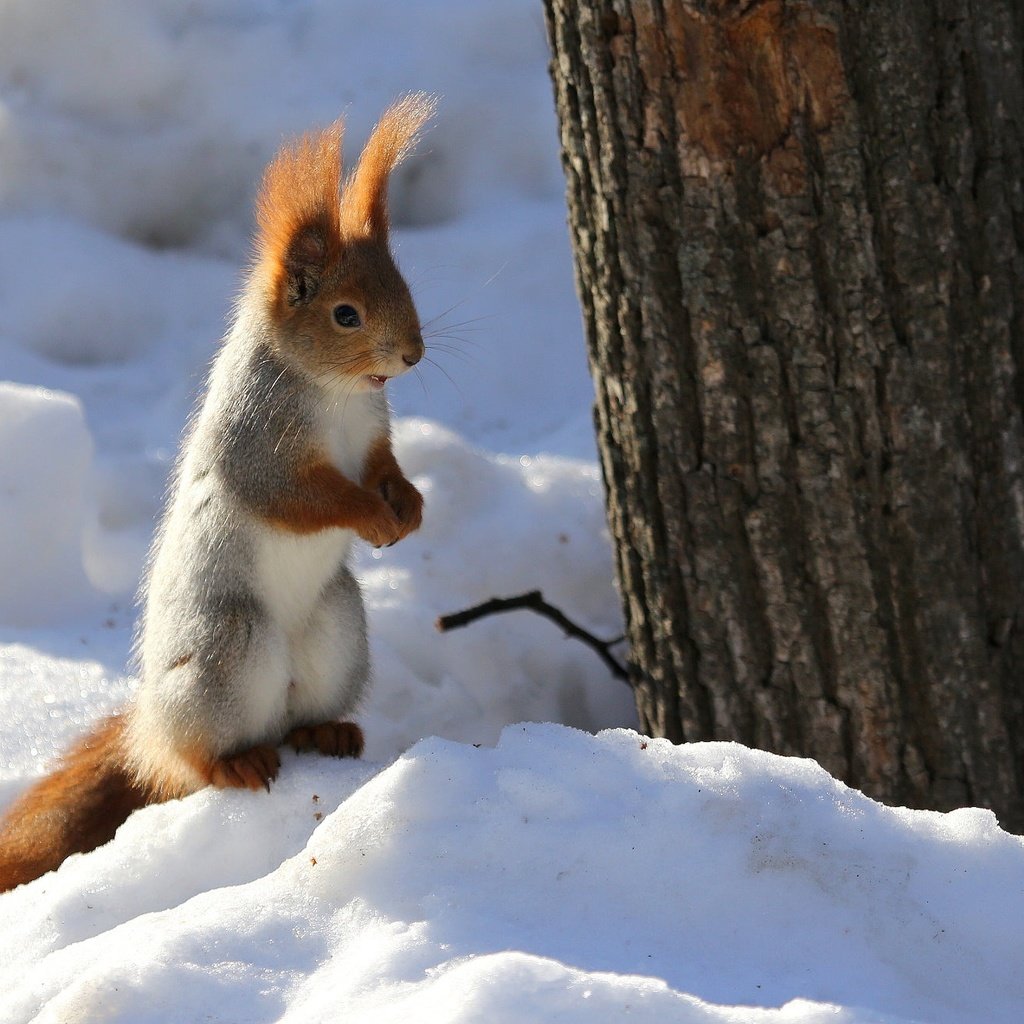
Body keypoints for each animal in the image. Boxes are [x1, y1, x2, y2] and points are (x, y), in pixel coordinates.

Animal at [0, 97, 436, 897]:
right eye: (346, 314)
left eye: (405, 286)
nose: (413, 354)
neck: (335, 393)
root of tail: (150, 727)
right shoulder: (256, 447)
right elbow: (303, 498)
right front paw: (369, 515)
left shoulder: (371, 437)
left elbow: (384, 466)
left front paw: (410, 504)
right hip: (226, 650)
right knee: (197, 761)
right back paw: (234, 762)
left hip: (336, 632)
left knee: (300, 717)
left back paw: (326, 730)